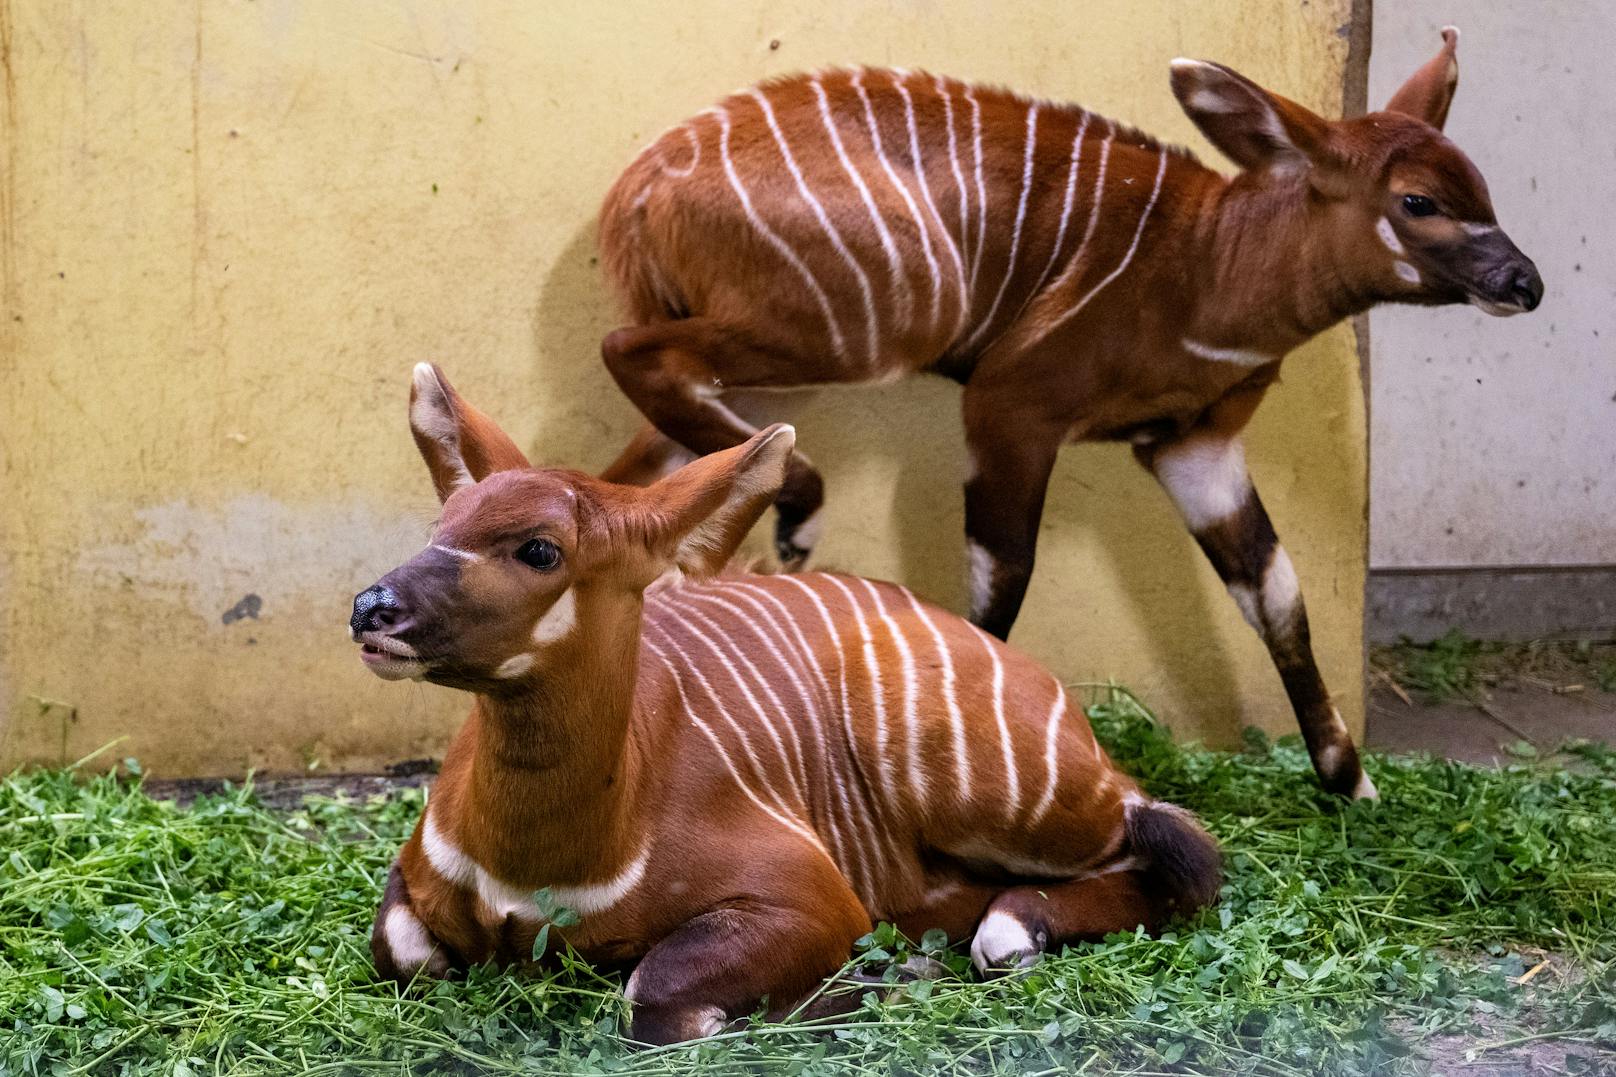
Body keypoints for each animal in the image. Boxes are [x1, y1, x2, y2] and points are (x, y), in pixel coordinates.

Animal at [350, 362, 1215, 1041]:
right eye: (443, 522)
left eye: (539, 548)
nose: (370, 607)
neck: (541, 867)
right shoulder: (411, 886)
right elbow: (402, 951)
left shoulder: (812, 898)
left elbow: (654, 996)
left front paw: (884, 981)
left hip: (999, 795)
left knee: (1169, 846)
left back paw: (1002, 933)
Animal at [591, 27, 1538, 795]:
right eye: (1418, 201)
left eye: (1484, 189)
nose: (1524, 282)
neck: (1208, 264)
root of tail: (636, 193)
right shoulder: (1012, 405)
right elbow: (1002, 582)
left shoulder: (1196, 446)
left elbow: (1276, 595)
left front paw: (1351, 782)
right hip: (858, 330)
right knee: (630, 351)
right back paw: (799, 513)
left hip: (781, 371)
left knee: (638, 473)